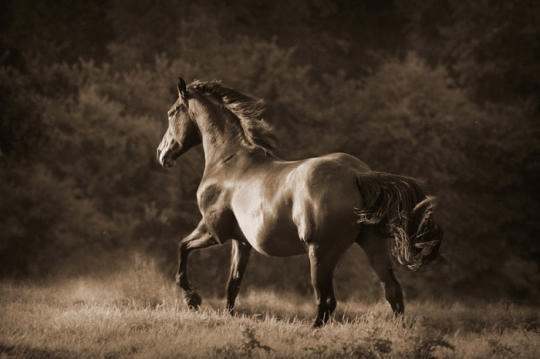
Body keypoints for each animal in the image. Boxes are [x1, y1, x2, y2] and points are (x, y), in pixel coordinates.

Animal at [156, 79, 442, 330]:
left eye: (171, 112)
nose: (161, 154)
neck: (228, 162)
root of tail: (356, 174)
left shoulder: (213, 231)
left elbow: (182, 247)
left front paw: (192, 299)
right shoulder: (241, 242)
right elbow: (233, 283)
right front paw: (227, 315)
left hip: (321, 253)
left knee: (327, 301)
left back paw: (312, 329)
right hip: (371, 244)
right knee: (392, 290)